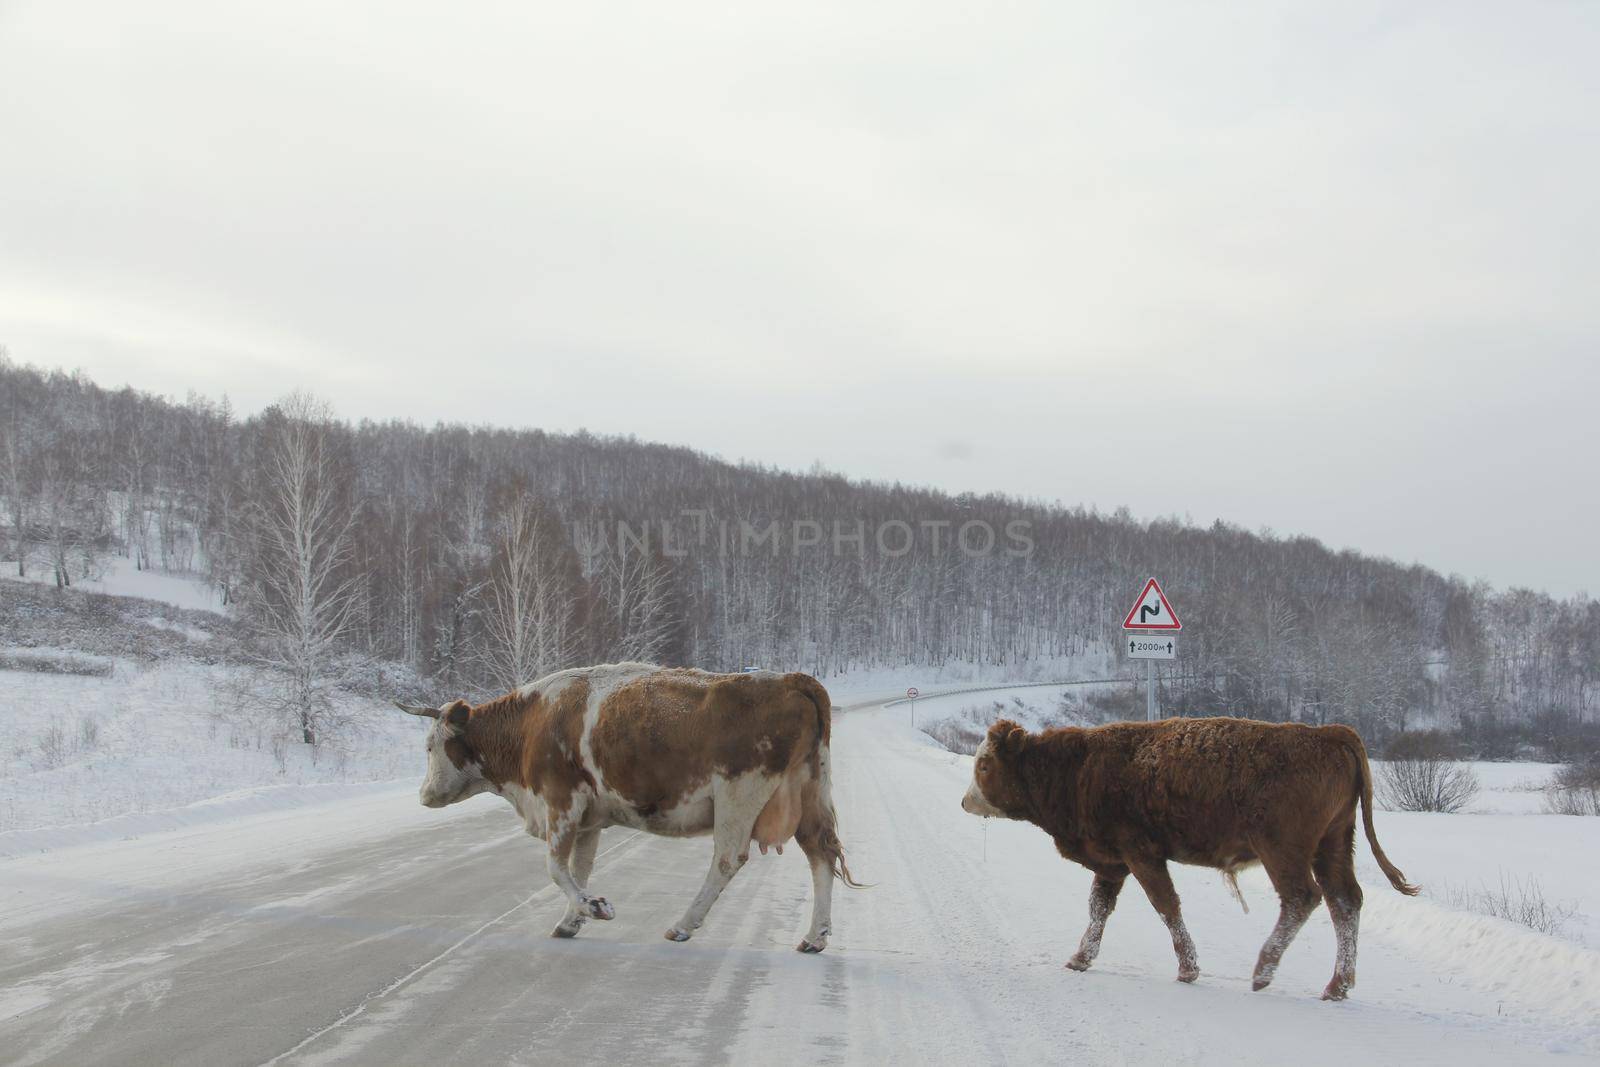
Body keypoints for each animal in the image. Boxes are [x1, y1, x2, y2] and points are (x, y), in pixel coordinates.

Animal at [395, 662, 857, 953]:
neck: (532, 722)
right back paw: (816, 936)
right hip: (809, 792)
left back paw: (683, 925)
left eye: (430, 745)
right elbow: (578, 868)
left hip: (739, 795)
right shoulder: (586, 820)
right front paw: (571, 919)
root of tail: (791, 679)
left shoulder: (560, 802)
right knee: (820, 852)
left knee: (728, 860)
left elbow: (555, 867)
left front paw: (595, 907)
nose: (424, 795)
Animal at [953, 716, 1420, 1004]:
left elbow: (1166, 906)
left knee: (1303, 897)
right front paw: (1080, 958)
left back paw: (1264, 971)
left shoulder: (1141, 854)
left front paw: (1188, 968)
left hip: (1283, 850)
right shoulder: (1112, 864)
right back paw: (1337, 986)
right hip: (1333, 846)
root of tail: (1330, 733)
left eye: (985, 764)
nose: (964, 801)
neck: (1079, 767)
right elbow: (1099, 908)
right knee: (1345, 902)